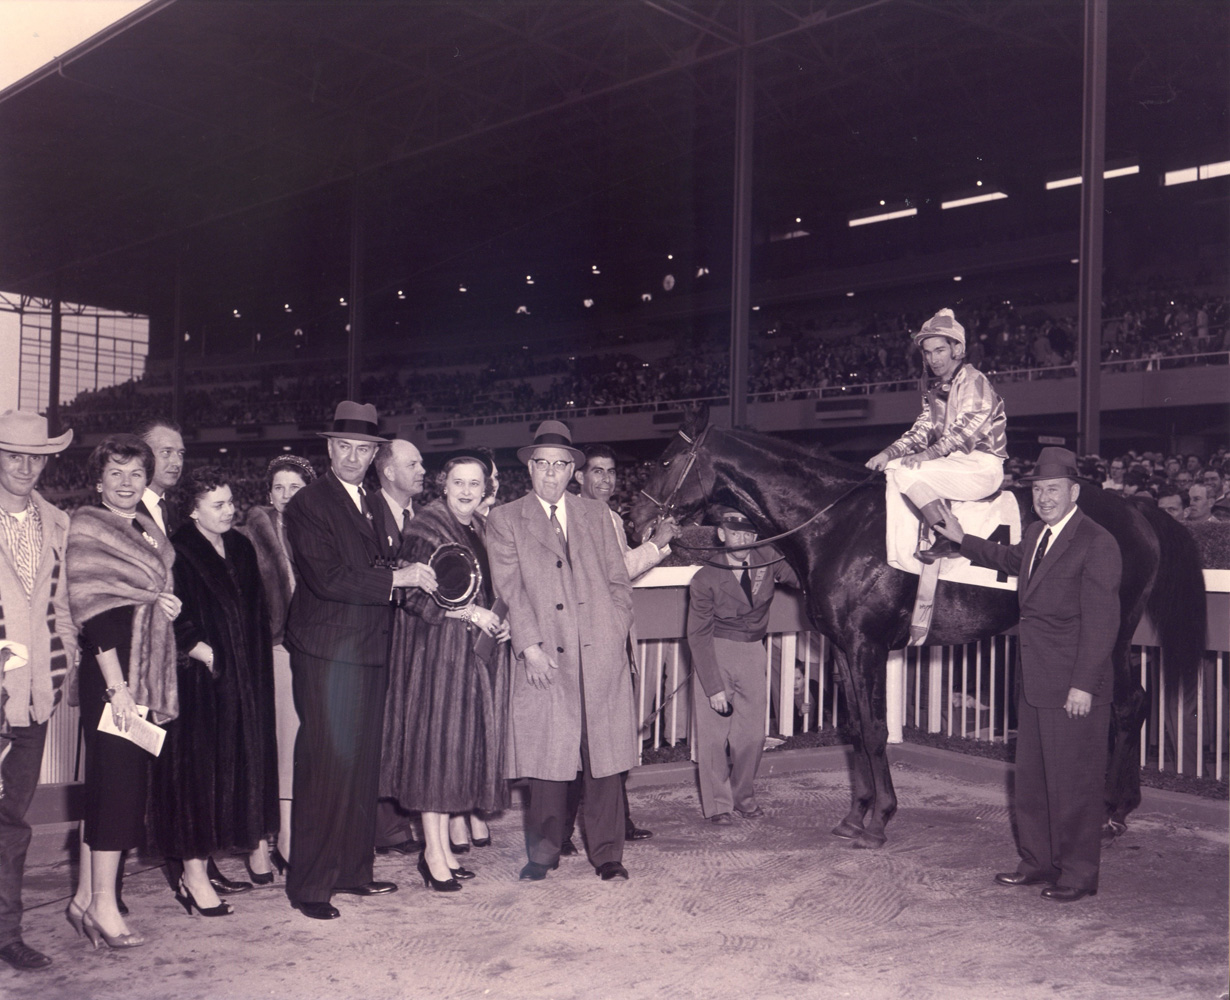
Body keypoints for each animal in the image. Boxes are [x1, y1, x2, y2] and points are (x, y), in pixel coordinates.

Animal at [629, 410, 1205, 846]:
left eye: (663, 461)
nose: (636, 523)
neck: (836, 523)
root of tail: (1136, 509)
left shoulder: (866, 645)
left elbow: (876, 729)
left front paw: (880, 819)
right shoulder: (842, 646)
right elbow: (855, 728)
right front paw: (856, 814)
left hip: (1109, 630)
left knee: (1128, 705)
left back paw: (1110, 810)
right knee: (1131, 703)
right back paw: (1119, 806)